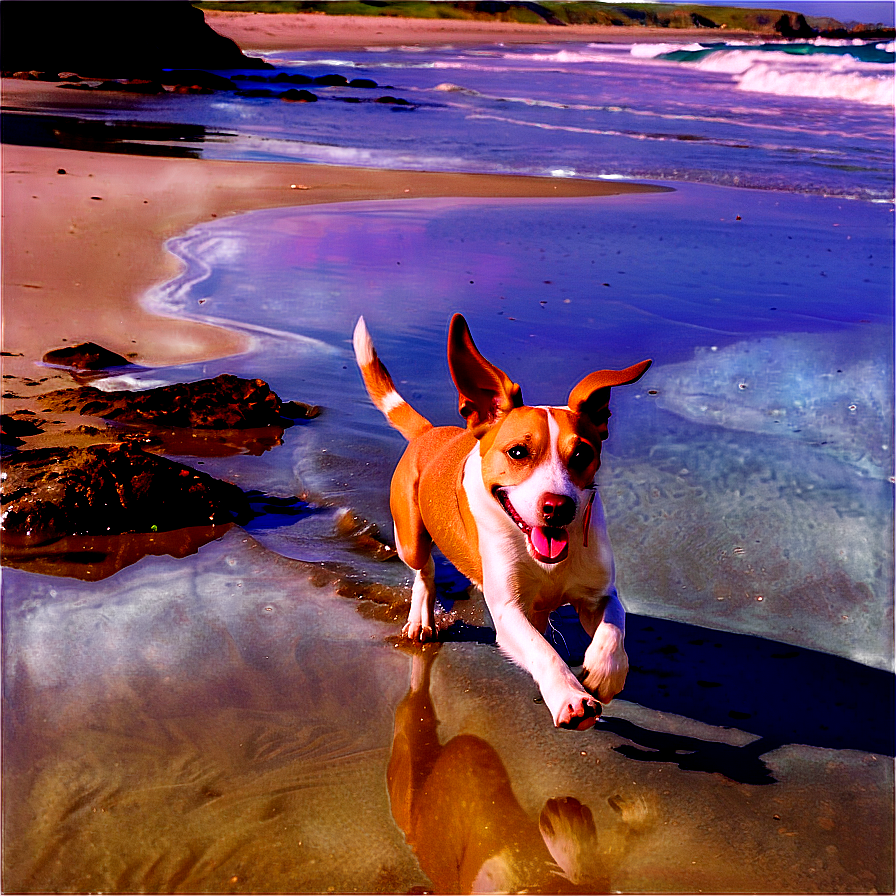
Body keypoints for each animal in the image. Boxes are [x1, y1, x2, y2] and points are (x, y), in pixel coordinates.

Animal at [356, 316, 652, 728]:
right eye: (517, 452)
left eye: (582, 454)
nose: (558, 507)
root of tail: (430, 433)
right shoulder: (508, 609)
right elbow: (542, 651)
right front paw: (569, 696)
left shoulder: (597, 593)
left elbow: (615, 623)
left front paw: (606, 673)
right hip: (409, 537)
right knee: (424, 568)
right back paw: (421, 617)